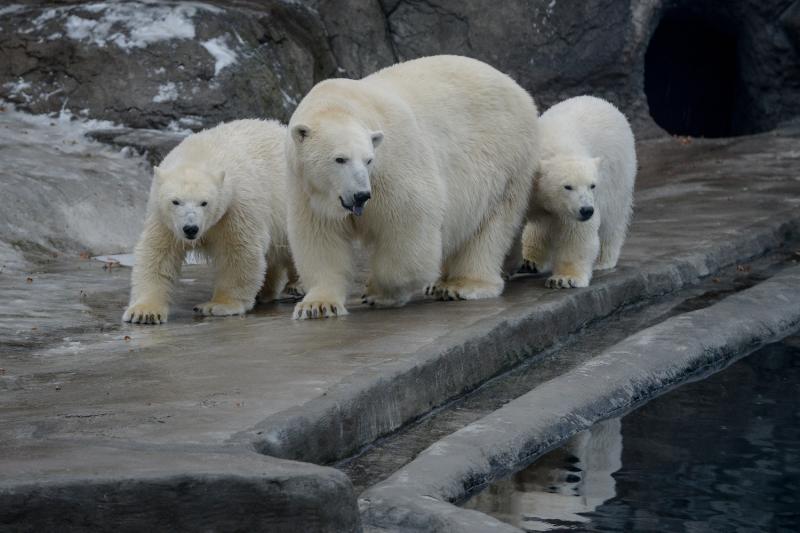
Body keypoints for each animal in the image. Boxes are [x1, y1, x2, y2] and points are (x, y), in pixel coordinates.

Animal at [122, 118, 300, 322]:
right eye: (175, 201)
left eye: (204, 202)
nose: (190, 228)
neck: (202, 153)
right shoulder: (165, 219)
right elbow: (158, 253)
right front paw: (144, 312)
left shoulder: (236, 206)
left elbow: (238, 252)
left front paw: (217, 305)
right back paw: (265, 292)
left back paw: (297, 286)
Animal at [284, 54, 540, 320]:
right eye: (340, 159)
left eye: (368, 160)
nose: (361, 196)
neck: (344, 104)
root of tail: (518, 89)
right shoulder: (307, 188)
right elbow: (320, 239)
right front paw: (317, 305)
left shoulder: (392, 167)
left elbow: (409, 221)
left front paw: (378, 292)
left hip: (504, 158)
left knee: (490, 223)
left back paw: (462, 285)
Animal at [520, 95, 636, 286]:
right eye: (567, 186)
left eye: (592, 185)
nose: (586, 210)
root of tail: (601, 101)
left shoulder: (573, 208)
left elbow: (576, 232)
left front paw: (564, 279)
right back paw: (530, 262)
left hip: (617, 171)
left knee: (612, 217)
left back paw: (602, 260)